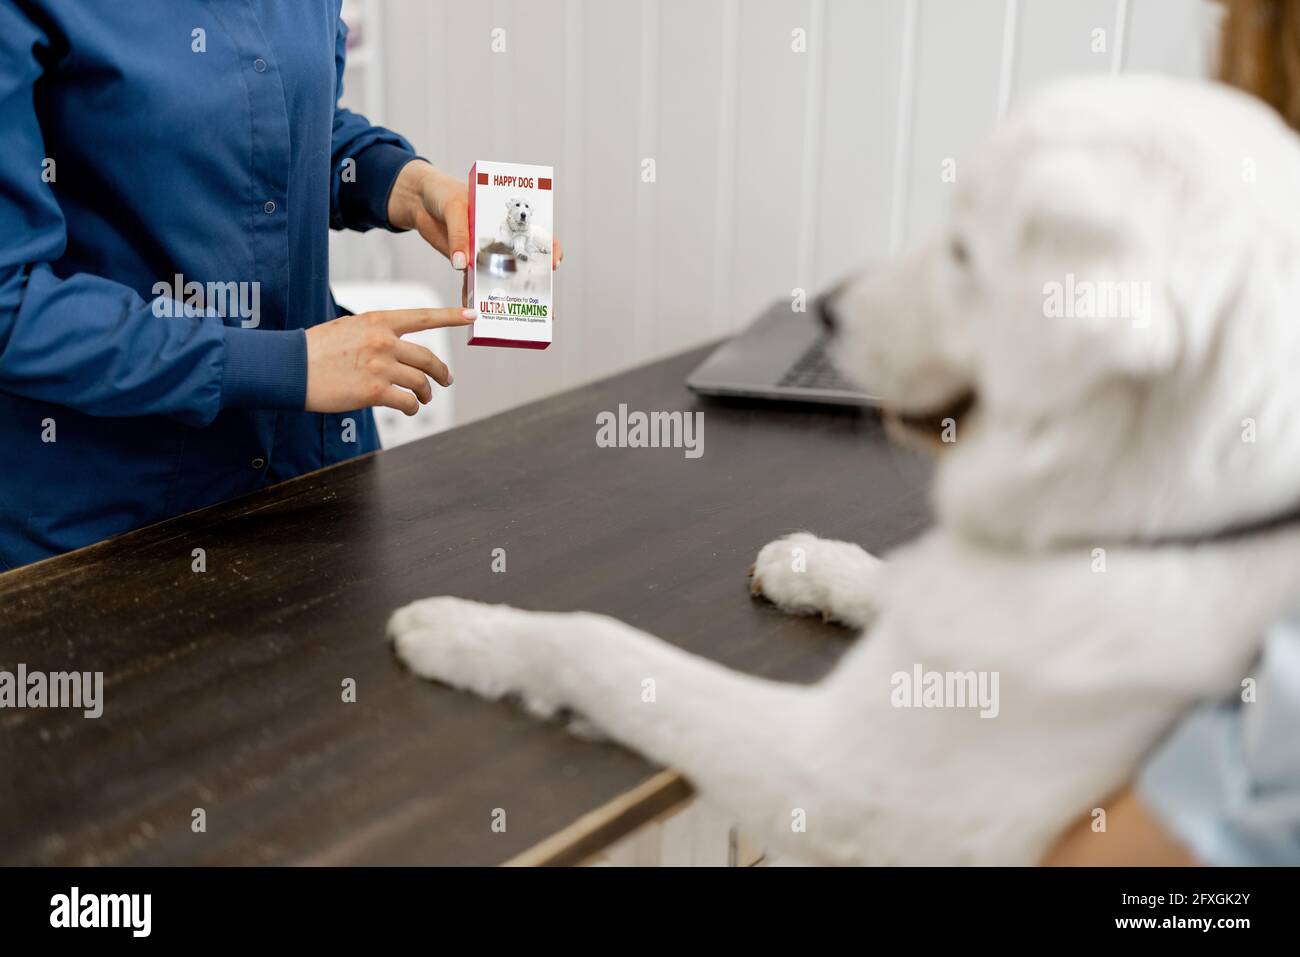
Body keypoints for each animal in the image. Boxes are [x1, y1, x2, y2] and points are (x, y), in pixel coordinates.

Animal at [390, 78, 1300, 863]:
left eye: (963, 250)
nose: (826, 309)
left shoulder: (844, 777)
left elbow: (599, 643)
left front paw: (464, 629)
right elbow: (884, 575)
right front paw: (808, 563)